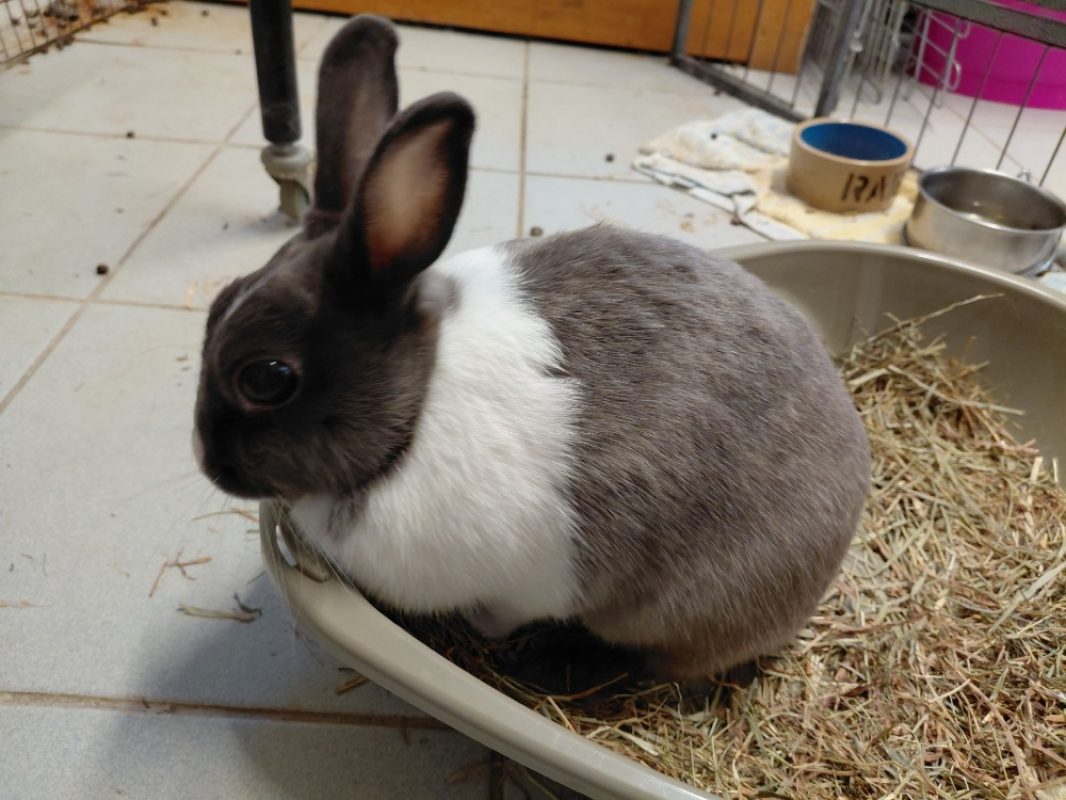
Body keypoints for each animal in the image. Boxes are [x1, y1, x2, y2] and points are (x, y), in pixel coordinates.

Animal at [193, 14, 871, 680]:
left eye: (267, 378)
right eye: (217, 301)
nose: (207, 460)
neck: (417, 408)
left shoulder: (524, 584)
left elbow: (505, 611)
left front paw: (486, 631)